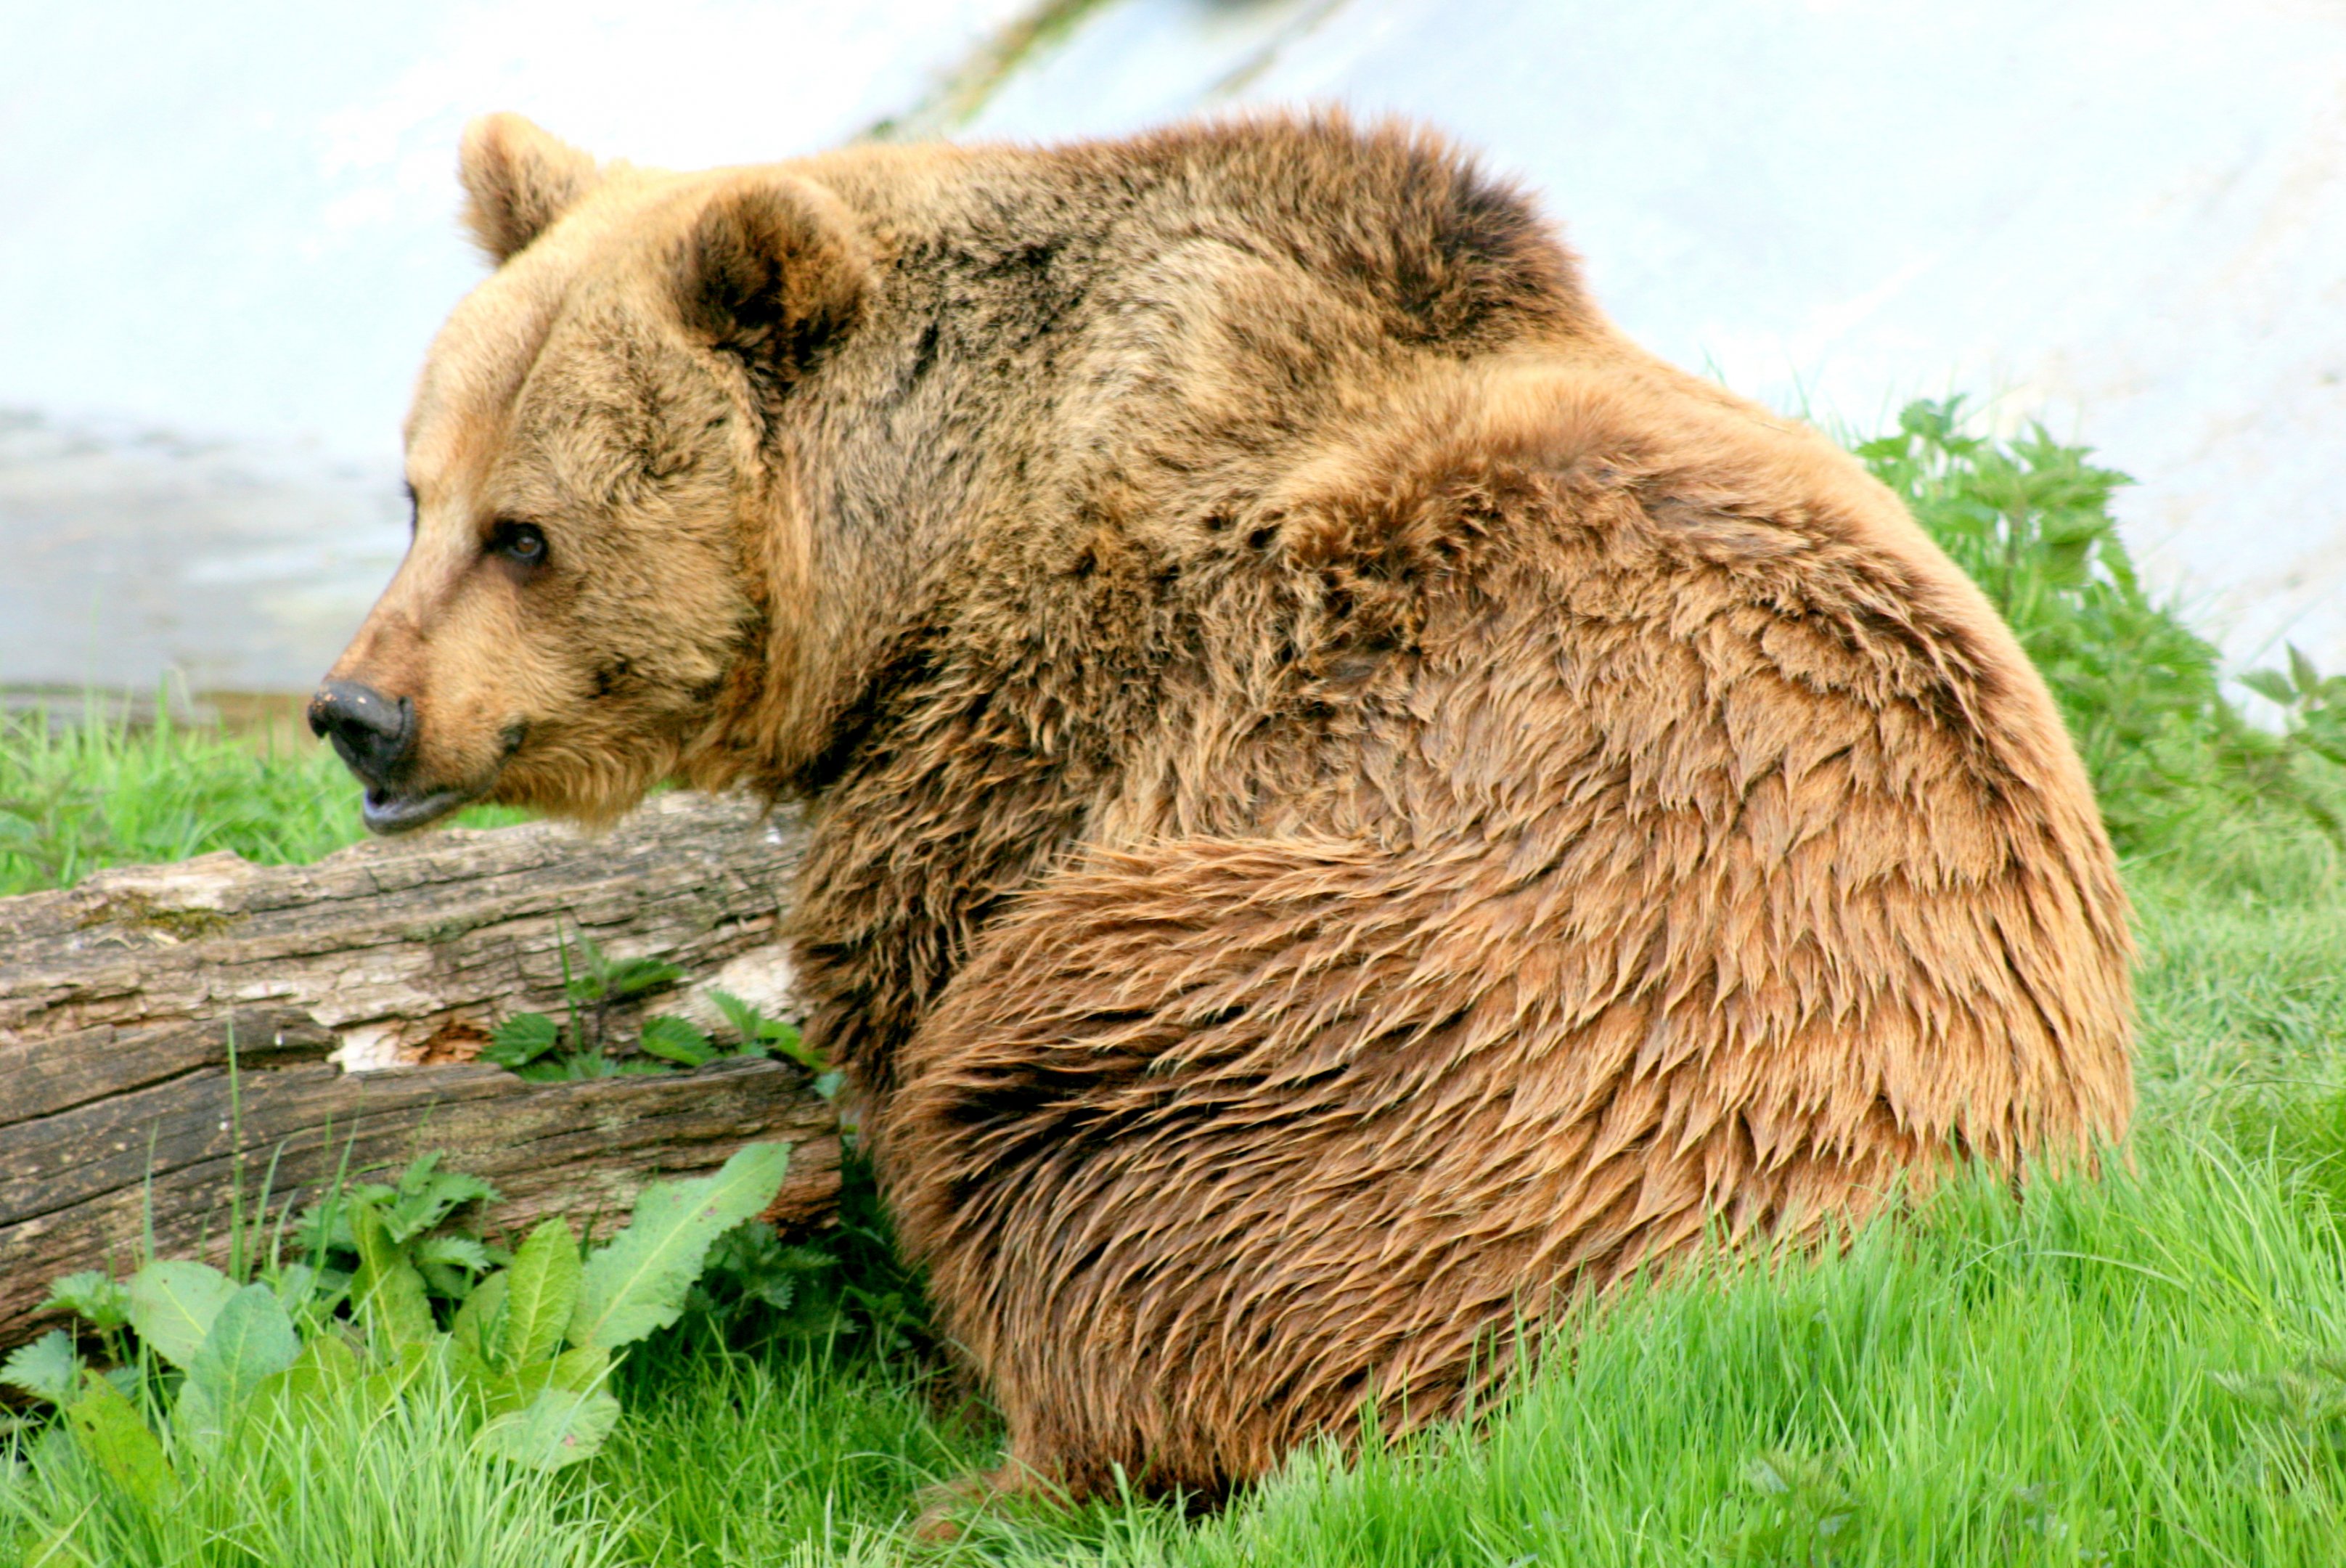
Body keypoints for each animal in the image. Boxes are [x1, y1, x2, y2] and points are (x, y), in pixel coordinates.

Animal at [310, 110, 2134, 1510]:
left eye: (525, 531)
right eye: (416, 492)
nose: (357, 711)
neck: (930, 540)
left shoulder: (1077, 720)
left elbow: (918, 1000)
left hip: (1446, 1029)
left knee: (1071, 1135)